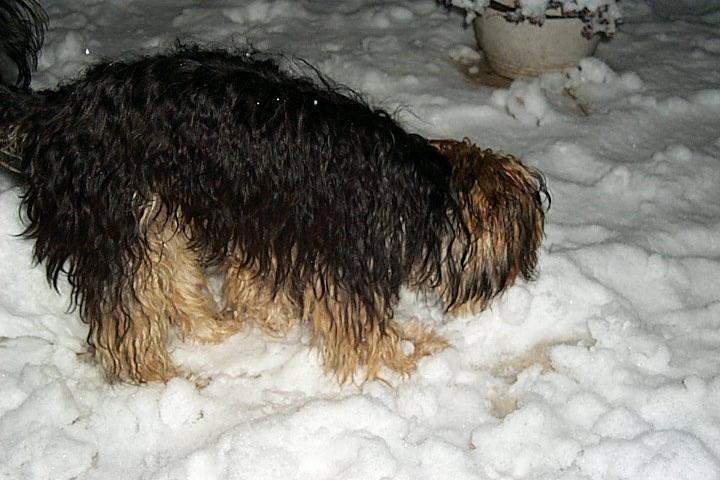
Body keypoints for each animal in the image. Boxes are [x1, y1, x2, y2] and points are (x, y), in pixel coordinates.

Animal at [0, 0, 548, 384]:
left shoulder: (270, 228)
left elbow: (255, 285)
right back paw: (161, 378)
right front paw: (408, 361)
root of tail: (58, 110)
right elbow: (364, 337)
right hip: (112, 220)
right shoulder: (346, 267)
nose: (523, 278)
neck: (425, 187)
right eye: (522, 248)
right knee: (126, 316)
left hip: (154, 214)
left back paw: (214, 327)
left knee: (172, 275)